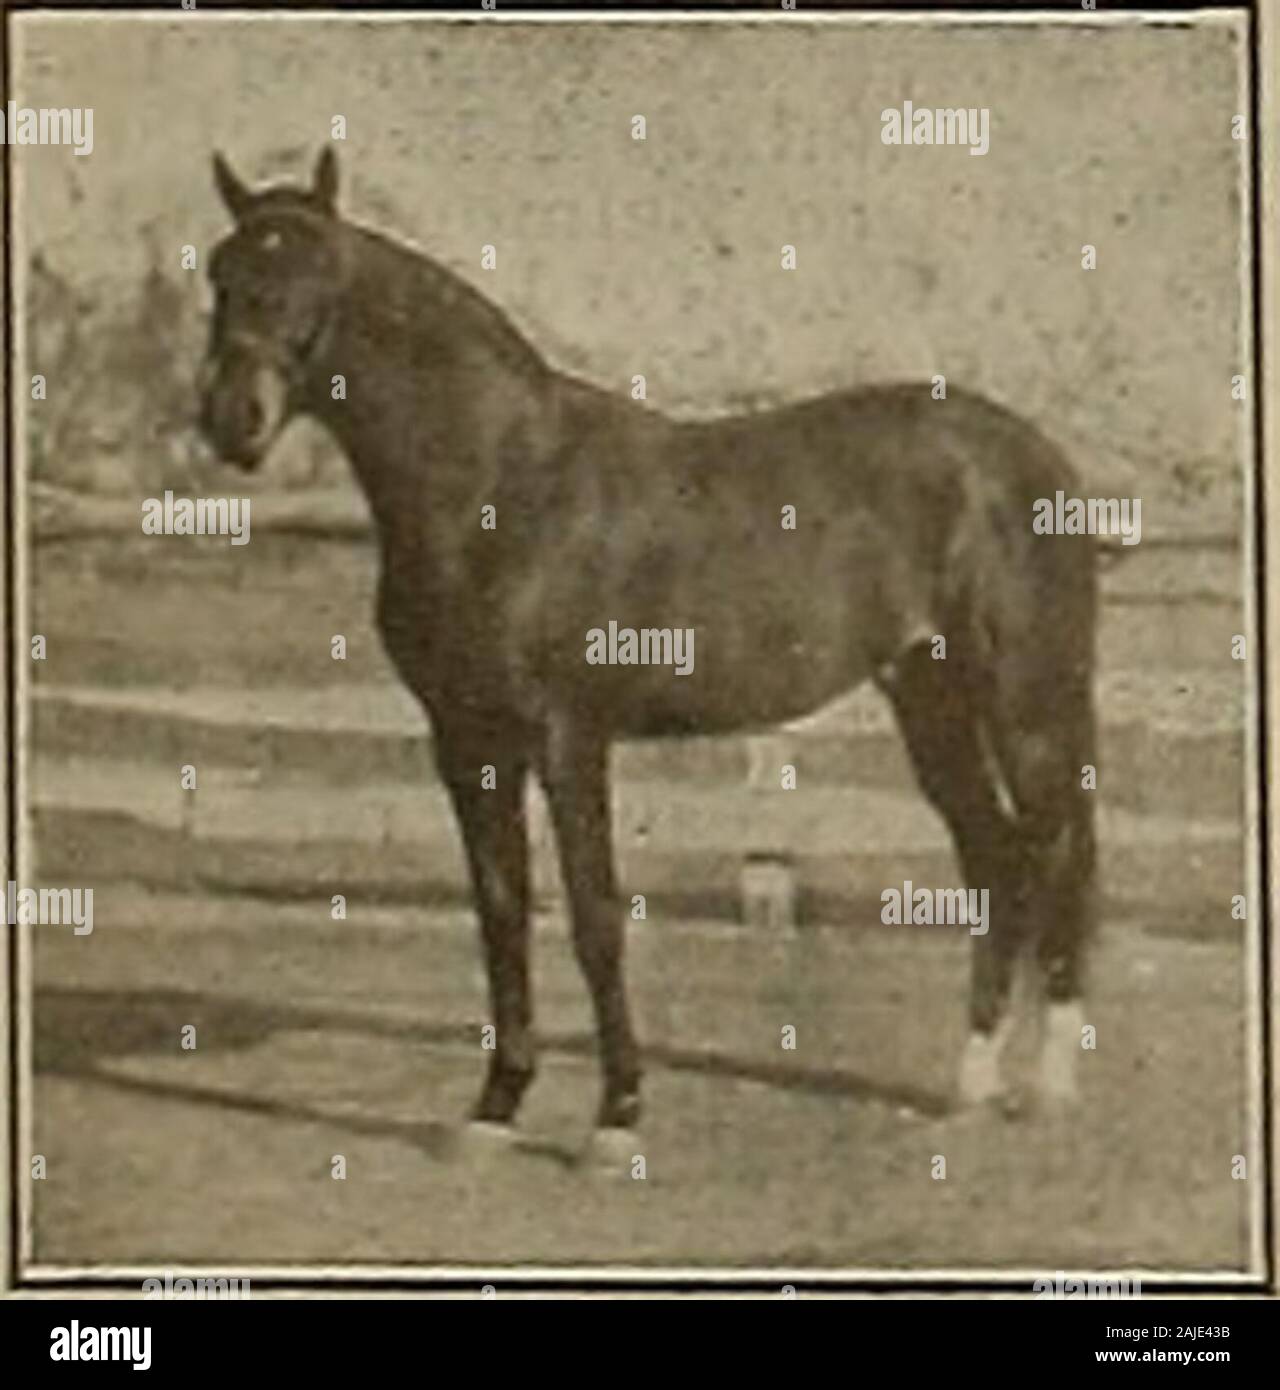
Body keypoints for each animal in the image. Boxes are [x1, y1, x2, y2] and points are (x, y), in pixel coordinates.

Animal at [198, 148, 1097, 1159]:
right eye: (220, 275)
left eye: (317, 278)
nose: (231, 418)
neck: (502, 482)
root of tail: (1036, 457)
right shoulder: (466, 742)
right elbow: (501, 913)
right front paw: (495, 1109)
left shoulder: (568, 736)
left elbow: (596, 919)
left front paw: (617, 1117)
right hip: (930, 697)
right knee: (995, 858)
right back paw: (971, 1086)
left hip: (1027, 706)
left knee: (1054, 852)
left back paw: (1050, 1085)